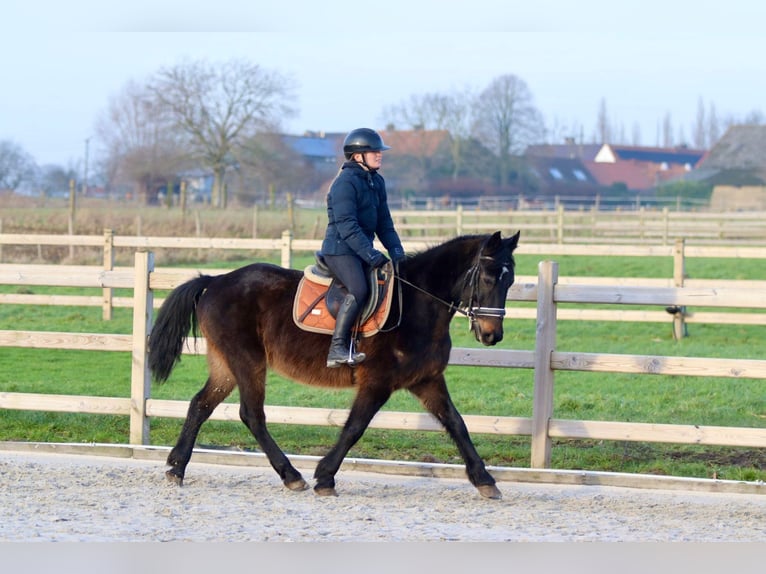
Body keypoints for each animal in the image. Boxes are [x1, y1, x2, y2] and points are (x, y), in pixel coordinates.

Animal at [150, 230, 520, 500]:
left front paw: (484, 480)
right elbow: (355, 427)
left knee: (201, 405)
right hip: (247, 360)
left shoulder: (426, 380)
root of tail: (215, 281)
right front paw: (325, 476)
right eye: (488, 278)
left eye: (510, 280)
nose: (492, 335)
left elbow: (457, 424)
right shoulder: (377, 382)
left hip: (225, 365)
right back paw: (291, 475)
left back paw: (176, 467)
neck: (417, 305)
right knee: (251, 415)